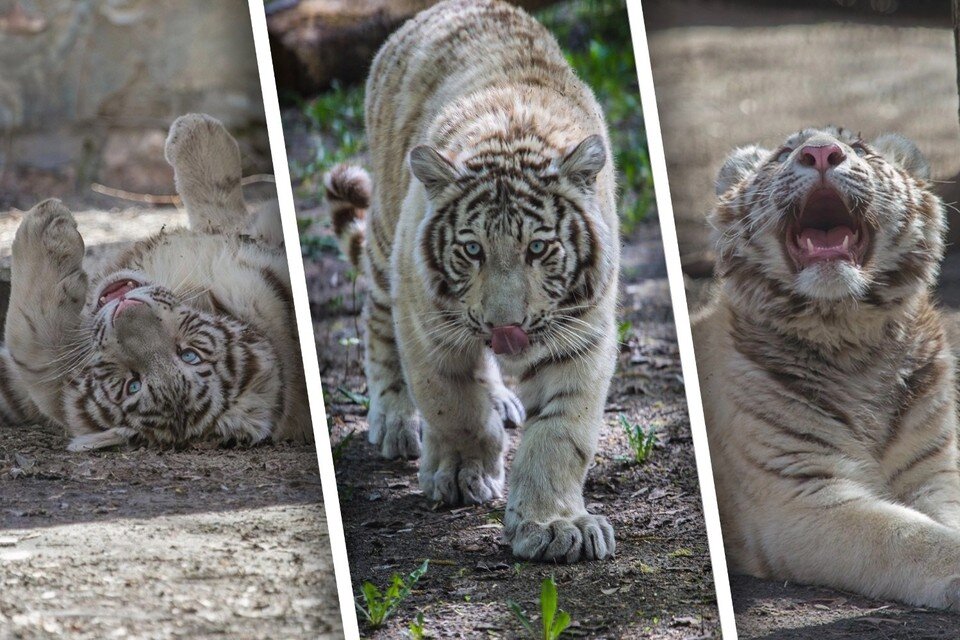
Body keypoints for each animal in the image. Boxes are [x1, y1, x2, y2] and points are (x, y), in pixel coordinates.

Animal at [326, 0, 620, 560]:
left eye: (537, 248)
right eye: (471, 249)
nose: (505, 326)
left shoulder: (583, 334)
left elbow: (562, 433)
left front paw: (553, 526)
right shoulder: (425, 322)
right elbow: (452, 404)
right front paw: (463, 475)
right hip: (385, 241)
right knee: (377, 321)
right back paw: (394, 420)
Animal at [692, 126, 960, 608]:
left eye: (859, 149)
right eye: (784, 153)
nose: (819, 153)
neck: (850, 339)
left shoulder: (934, 474)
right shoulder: (796, 492)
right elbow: (905, 536)